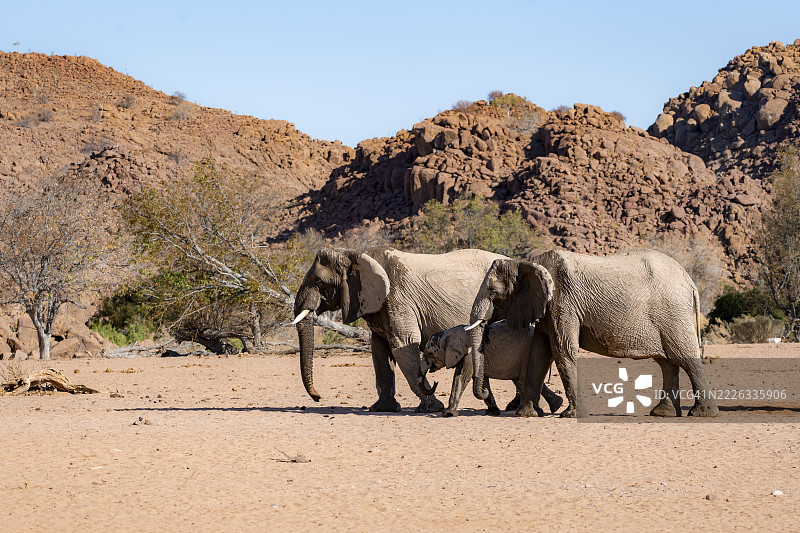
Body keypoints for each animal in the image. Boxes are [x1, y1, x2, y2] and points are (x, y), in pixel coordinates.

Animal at [292, 247, 506, 413]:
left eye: (319, 282)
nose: (318, 397)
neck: (356, 254)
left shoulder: (398, 298)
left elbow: (403, 345)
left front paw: (431, 408)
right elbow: (380, 350)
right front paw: (382, 409)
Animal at [422, 321, 563, 417]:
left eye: (430, 354)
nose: (435, 382)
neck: (449, 332)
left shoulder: (469, 353)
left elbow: (462, 377)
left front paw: (448, 414)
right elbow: (482, 379)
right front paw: (492, 412)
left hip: (528, 354)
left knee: (523, 379)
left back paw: (524, 412)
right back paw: (555, 406)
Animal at [467, 249, 719, 418]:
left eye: (492, 292)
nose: (484, 394)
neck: (529, 263)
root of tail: (689, 281)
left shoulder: (563, 301)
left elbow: (562, 351)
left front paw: (571, 416)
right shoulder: (547, 308)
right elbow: (539, 353)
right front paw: (526, 415)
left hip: (673, 313)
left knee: (685, 358)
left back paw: (703, 414)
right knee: (667, 363)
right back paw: (662, 413)